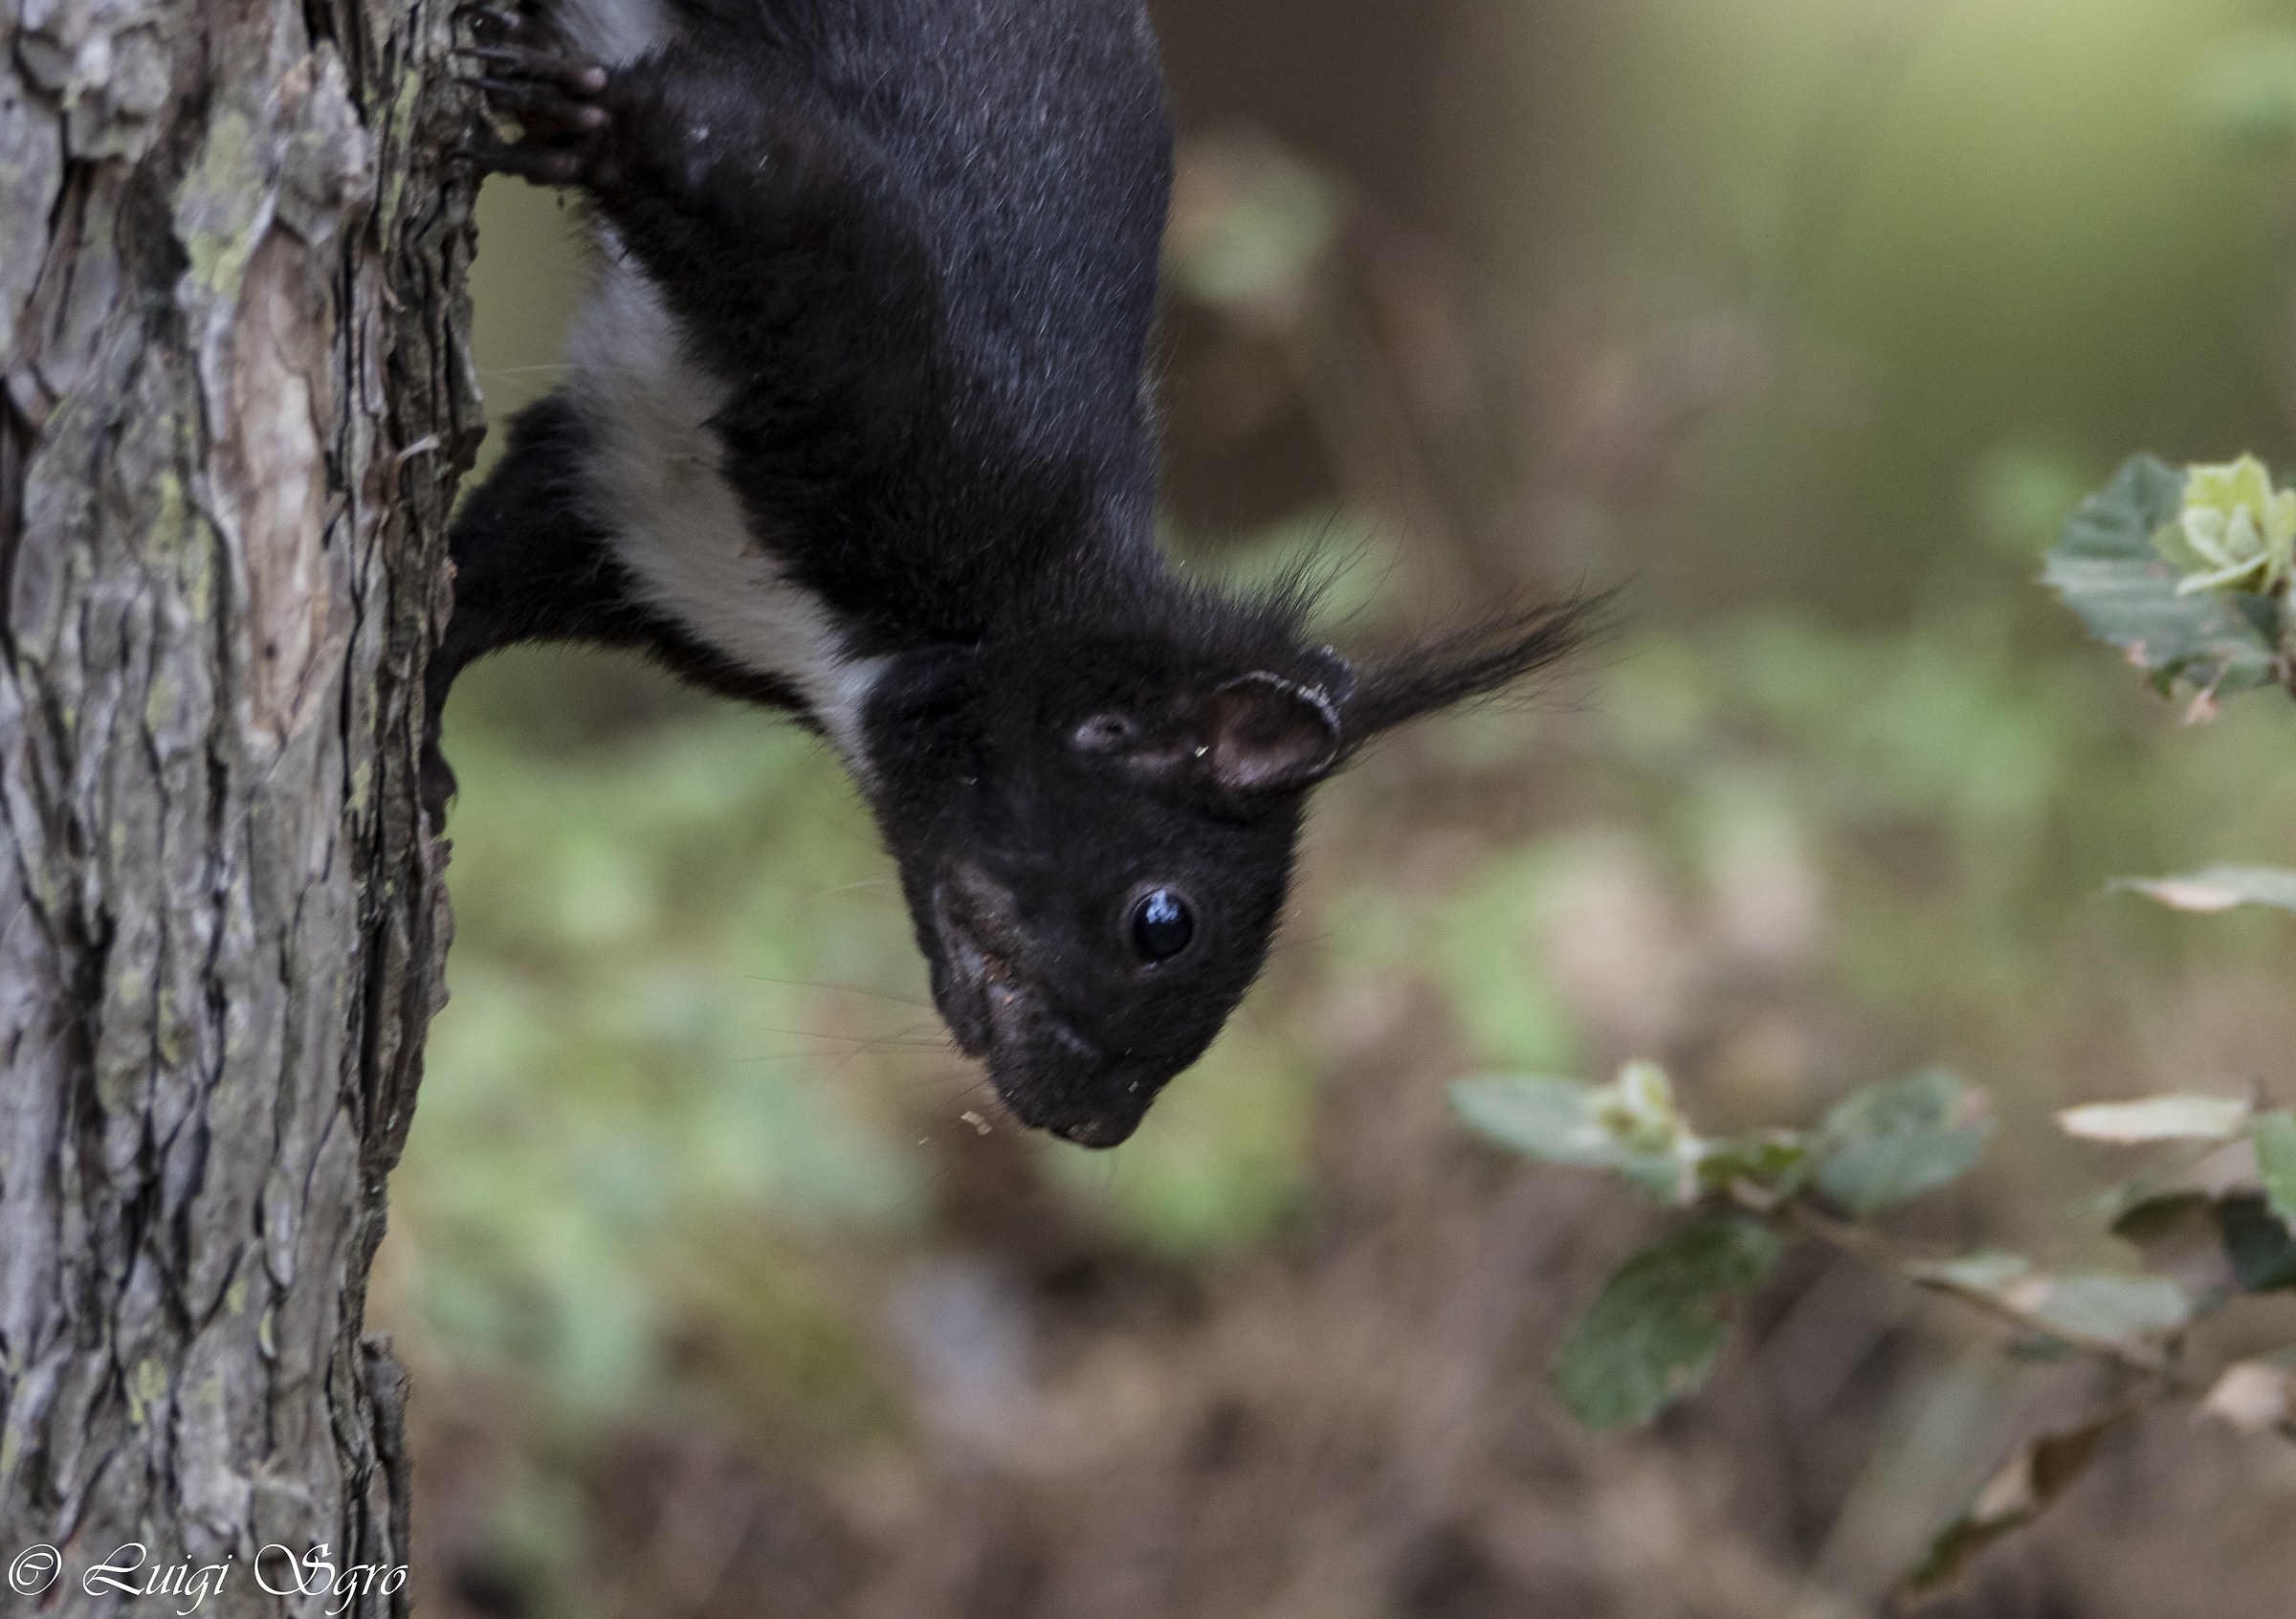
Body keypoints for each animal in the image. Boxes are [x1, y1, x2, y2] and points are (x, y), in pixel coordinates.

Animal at [432, 0, 1600, 1147]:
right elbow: (759, 169)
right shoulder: (909, 357)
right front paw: (590, 116)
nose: (1100, 1126)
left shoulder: (626, 519)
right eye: (1164, 923)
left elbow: (478, 582)